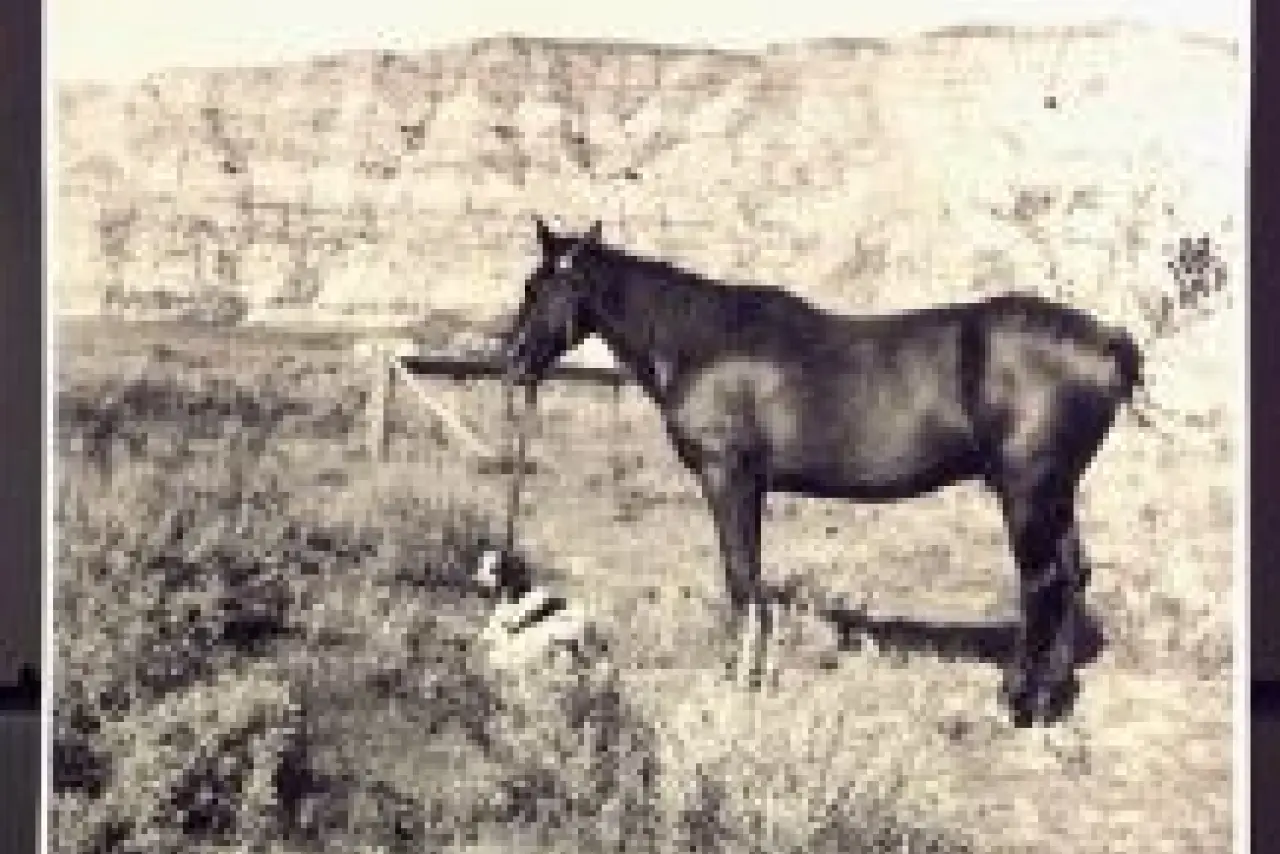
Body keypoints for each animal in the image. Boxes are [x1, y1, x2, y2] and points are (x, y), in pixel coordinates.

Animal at [500, 216, 1147, 727]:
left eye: (541, 285)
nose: (512, 359)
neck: (700, 339)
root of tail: (1107, 339)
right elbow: (751, 577)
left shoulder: (727, 476)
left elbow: (741, 578)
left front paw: (742, 679)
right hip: (1055, 491)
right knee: (1073, 573)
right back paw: (1050, 699)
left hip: (1027, 489)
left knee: (1042, 583)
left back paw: (1017, 700)